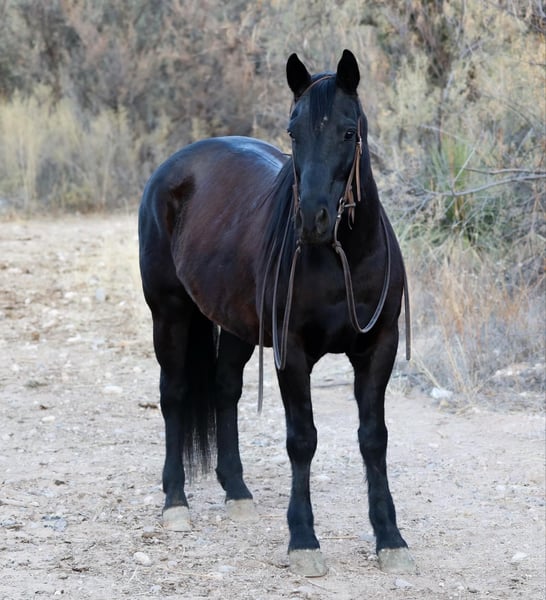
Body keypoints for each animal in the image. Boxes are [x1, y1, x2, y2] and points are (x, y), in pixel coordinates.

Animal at [138, 49, 414, 577]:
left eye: (348, 131)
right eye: (293, 132)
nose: (313, 220)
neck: (342, 259)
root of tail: (174, 167)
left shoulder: (379, 347)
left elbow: (374, 438)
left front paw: (390, 538)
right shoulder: (294, 351)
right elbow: (301, 439)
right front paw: (304, 541)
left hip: (235, 325)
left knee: (225, 389)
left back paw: (238, 493)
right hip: (170, 314)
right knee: (174, 395)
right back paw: (176, 503)